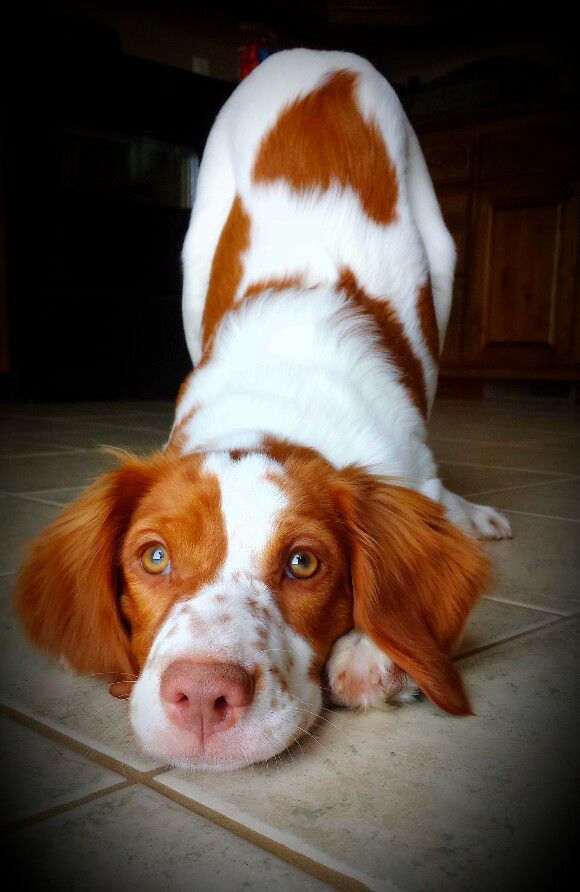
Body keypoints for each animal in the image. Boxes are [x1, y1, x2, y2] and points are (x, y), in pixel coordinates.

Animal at [15, 48, 510, 772]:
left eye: (304, 563)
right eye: (153, 557)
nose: (201, 698)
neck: (278, 408)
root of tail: (321, 56)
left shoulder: (410, 466)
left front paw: (374, 652)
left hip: (441, 263)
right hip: (195, 260)